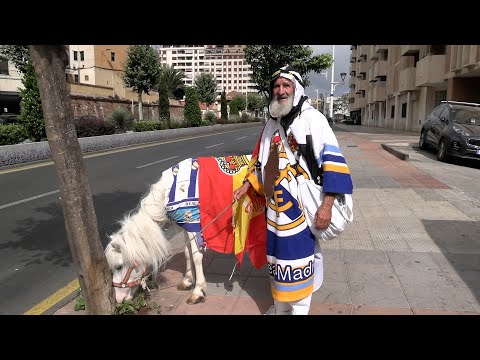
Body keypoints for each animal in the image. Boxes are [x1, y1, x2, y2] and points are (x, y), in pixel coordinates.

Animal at [104, 155, 255, 304]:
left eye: (118, 266)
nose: (119, 299)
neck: (171, 192)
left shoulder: (194, 223)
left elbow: (196, 256)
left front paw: (198, 291)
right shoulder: (185, 226)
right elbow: (188, 254)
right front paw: (187, 281)